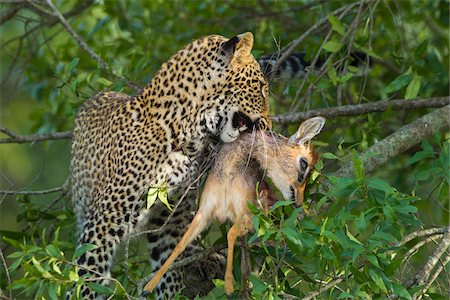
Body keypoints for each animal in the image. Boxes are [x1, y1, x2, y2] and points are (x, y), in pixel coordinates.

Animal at [70, 31, 270, 298]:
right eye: (261, 88)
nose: (269, 124)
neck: (188, 136)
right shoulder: (104, 222)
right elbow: (88, 273)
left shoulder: (170, 220)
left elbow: (169, 269)